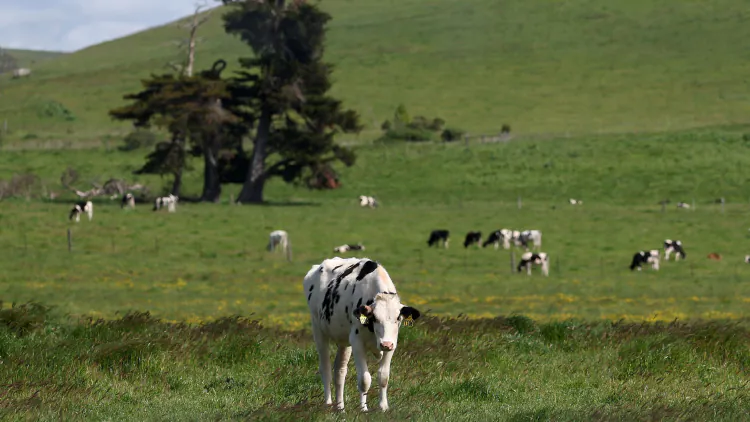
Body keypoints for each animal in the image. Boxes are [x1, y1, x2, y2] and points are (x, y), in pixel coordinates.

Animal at [306, 258, 424, 412]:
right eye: (375, 318)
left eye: (398, 318)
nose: (385, 344)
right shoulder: (357, 343)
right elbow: (364, 379)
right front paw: (363, 408)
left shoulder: (392, 345)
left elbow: (383, 377)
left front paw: (383, 407)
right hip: (319, 331)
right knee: (325, 368)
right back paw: (328, 403)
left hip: (344, 341)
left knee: (340, 371)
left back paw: (340, 407)